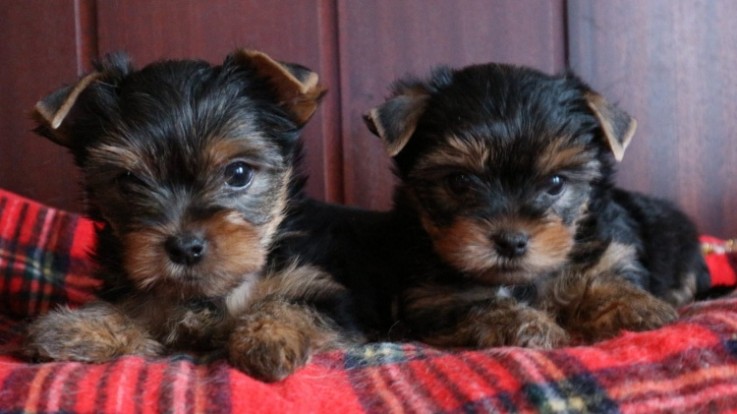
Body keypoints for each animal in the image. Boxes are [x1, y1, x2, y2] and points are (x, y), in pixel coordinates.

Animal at [25, 49, 362, 382]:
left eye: (239, 173)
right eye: (129, 181)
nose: (185, 248)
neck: (208, 296)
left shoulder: (326, 296)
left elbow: (294, 303)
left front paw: (270, 337)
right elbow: (135, 310)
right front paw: (78, 327)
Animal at [362, 63, 708, 348]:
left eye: (555, 183)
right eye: (459, 181)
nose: (511, 241)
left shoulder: (609, 253)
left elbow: (605, 277)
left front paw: (634, 306)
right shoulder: (432, 297)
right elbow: (480, 305)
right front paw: (528, 325)